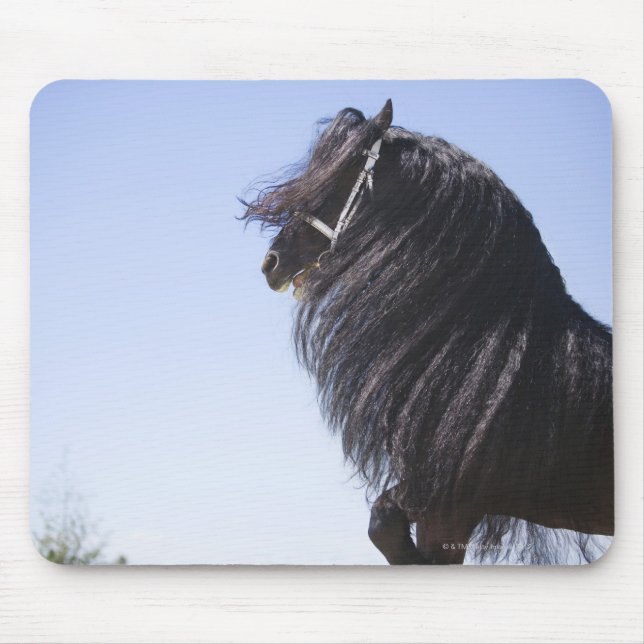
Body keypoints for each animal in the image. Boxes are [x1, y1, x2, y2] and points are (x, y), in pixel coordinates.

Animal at [241, 99, 613, 564]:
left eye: (341, 173)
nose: (271, 262)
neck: (495, 362)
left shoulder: (449, 507)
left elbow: (390, 529)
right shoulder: (431, 496)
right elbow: (385, 523)